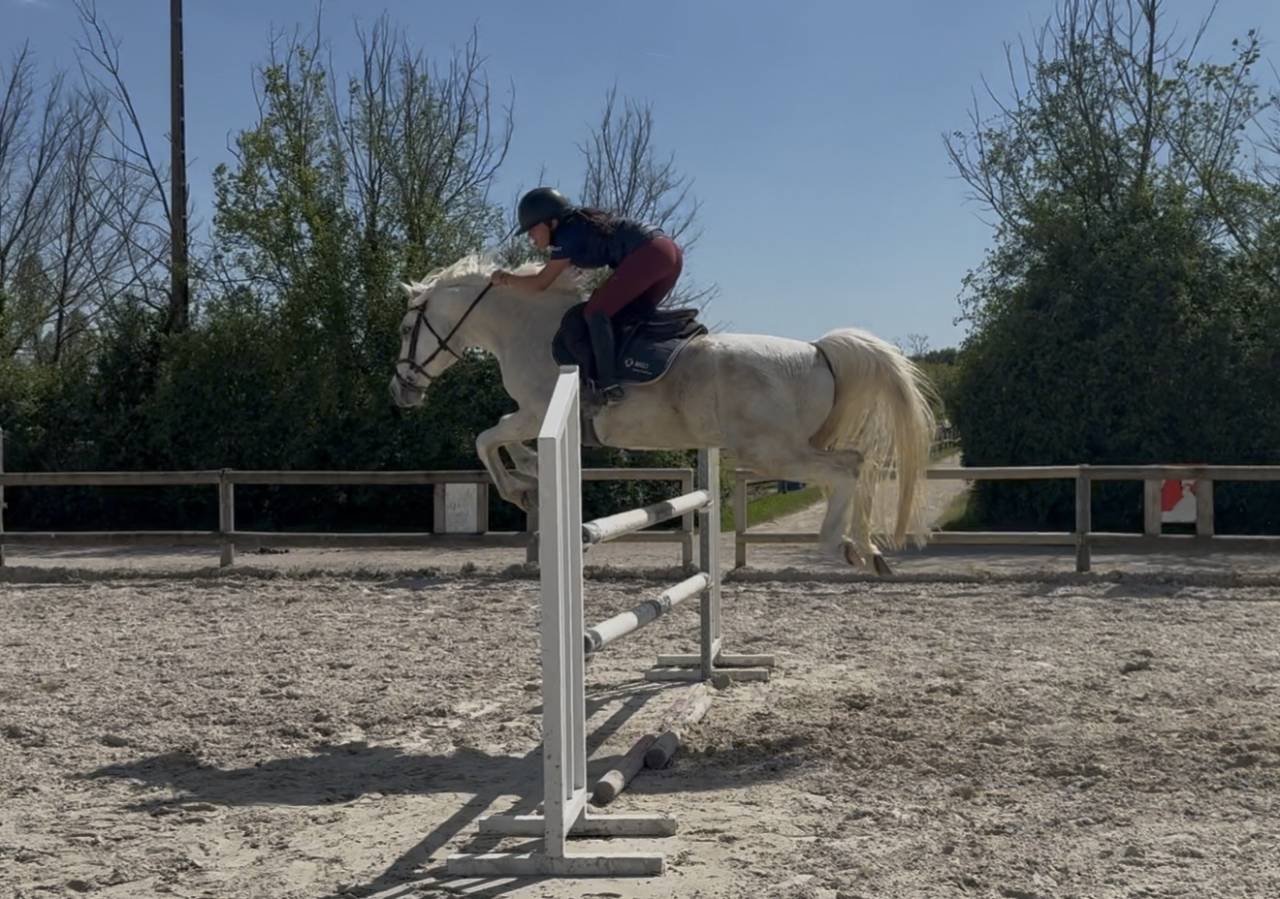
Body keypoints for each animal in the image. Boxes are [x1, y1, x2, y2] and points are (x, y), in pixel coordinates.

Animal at [389, 254, 936, 573]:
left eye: (405, 329)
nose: (401, 391)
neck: (527, 326)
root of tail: (818, 351)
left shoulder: (538, 410)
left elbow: (487, 438)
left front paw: (521, 488)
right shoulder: (533, 415)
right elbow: (499, 438)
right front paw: (527, 474)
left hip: (771, 452)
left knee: (847, 469)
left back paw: (836, 546)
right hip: (789, 448)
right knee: (858, 464)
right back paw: (867, 550)